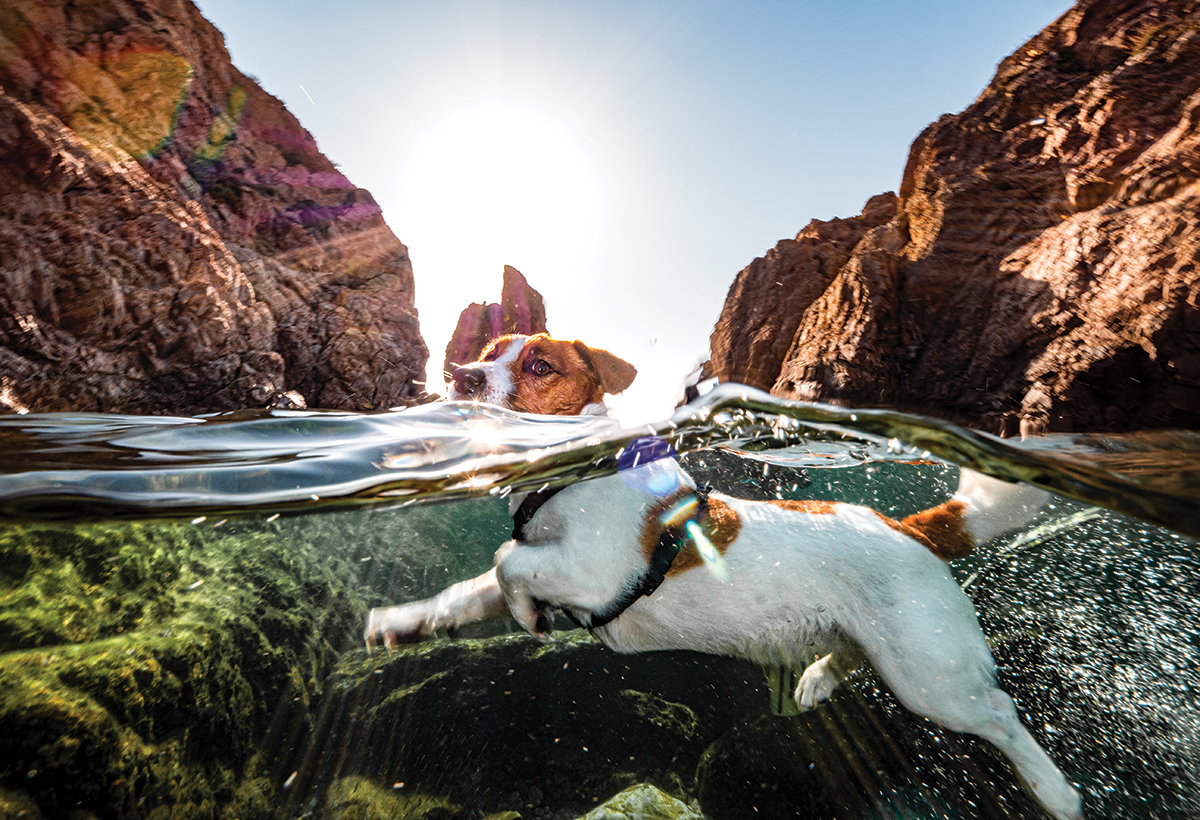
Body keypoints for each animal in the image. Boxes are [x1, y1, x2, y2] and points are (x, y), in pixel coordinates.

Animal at [364, 331, 1089, 820]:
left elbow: (505, 562)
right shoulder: (542, 566)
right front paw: (403, 623)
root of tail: (911, 529)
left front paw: (525, 615)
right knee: (854, 654)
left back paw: (1055, 792)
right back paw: (818, 678)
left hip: (929, 676)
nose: (458, 376)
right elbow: (467, 590)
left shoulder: (589, 569)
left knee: (998, 713)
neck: (562, 477)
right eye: (487, 350)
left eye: (538, 365)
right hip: (884, 647)